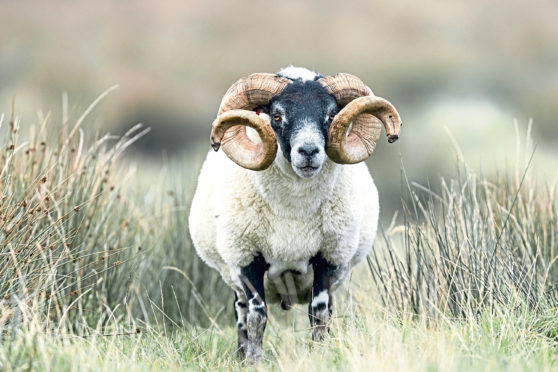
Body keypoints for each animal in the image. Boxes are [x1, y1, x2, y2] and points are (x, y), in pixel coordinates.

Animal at [189, 65, 402, 362]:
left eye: (331, 114)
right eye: (277, 115)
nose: (309, 151)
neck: (294, 212)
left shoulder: (329, 258)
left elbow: (319, 313)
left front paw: (321, 355)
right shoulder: (247, 259)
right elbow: (257, 316)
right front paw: (254, 362)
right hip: (232, 274)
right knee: (241, 314)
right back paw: (241, 355)